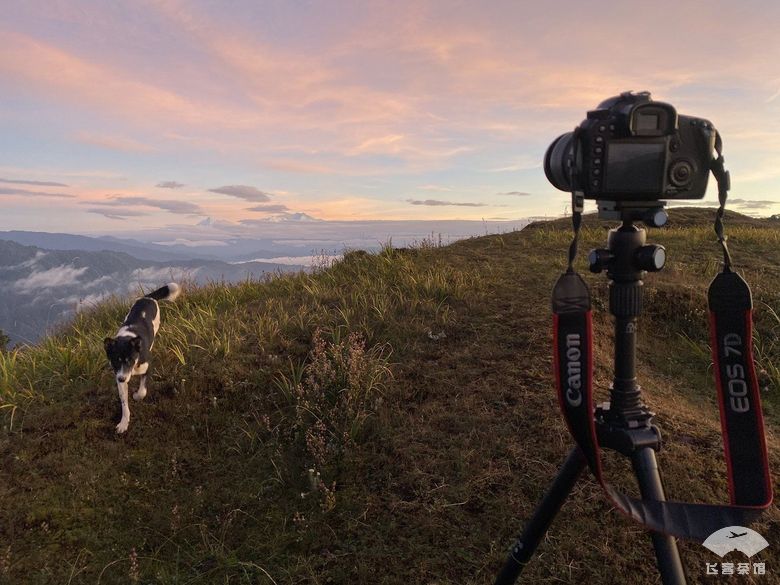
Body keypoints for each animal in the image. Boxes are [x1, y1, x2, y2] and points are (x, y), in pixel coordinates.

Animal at [104, 282, 181, 434]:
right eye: (115, 361)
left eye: (129, 360)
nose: (121, 379)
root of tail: (147, 297)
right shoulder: (120, 376)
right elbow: (124, 403)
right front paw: (123, 423)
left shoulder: (147, 367)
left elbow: (142, 391)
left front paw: (136, 396)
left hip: (156, 324)